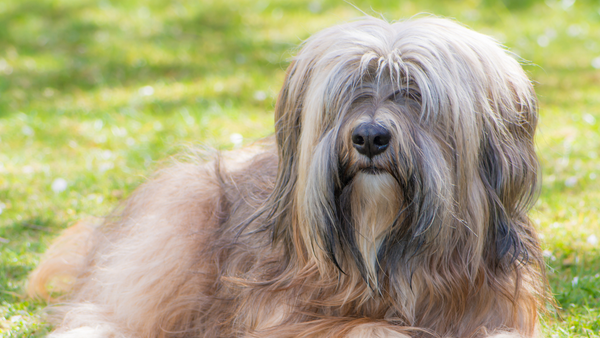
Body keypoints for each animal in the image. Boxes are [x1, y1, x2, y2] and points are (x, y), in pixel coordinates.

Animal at [29, 16, 548, 338]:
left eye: (412, 92)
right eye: (349, 93)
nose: (369, 137)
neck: (386, 254)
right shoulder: (274, 316)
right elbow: (369, 328)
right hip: (179, 217)